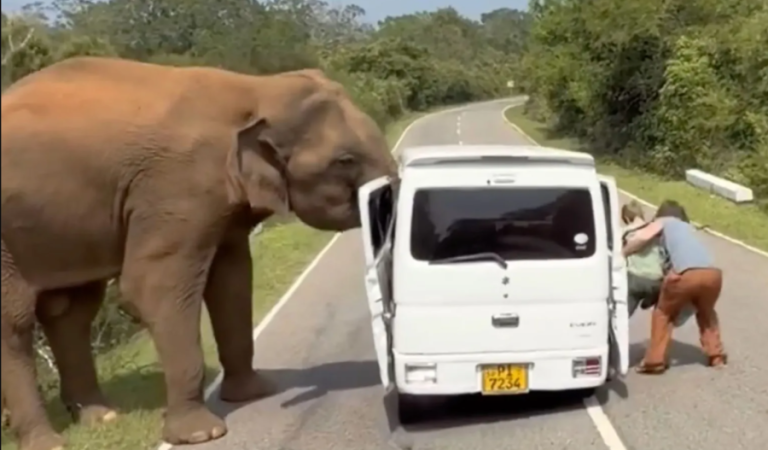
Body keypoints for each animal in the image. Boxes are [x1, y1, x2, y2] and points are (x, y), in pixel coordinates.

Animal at [1, 56, 397, 450]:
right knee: (16, 320)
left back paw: (102, 418)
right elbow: (152, 287)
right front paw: (202, 435)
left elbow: (232, 280)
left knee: (71, 310)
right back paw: (49, 442)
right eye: (345, 160)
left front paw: (255, 393)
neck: (256, 89)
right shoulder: (178, 187)